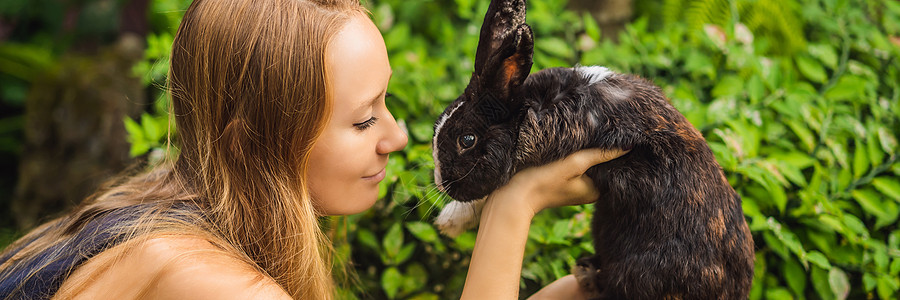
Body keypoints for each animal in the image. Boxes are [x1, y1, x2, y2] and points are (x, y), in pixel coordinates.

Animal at [432, 1, 756, 298]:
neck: (531, 108)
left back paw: (586, 274)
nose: (441, 183)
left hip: (641, 274)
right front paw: (450, 221)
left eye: (467, 140)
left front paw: (450, 220)